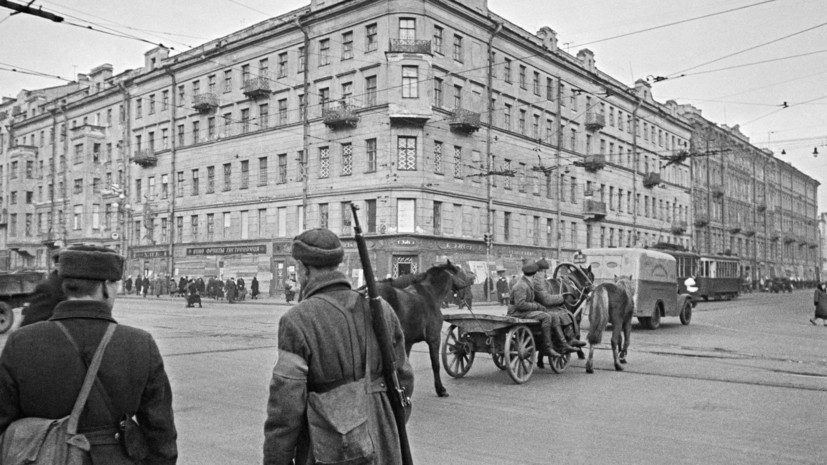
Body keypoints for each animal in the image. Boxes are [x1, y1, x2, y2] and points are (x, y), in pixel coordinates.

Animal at [372, 260, 468, 396]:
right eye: (459, 272)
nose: (465, 289)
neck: (430, 294)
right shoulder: (434, 338)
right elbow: (435, 364)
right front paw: (440, 389)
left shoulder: (408, 342)